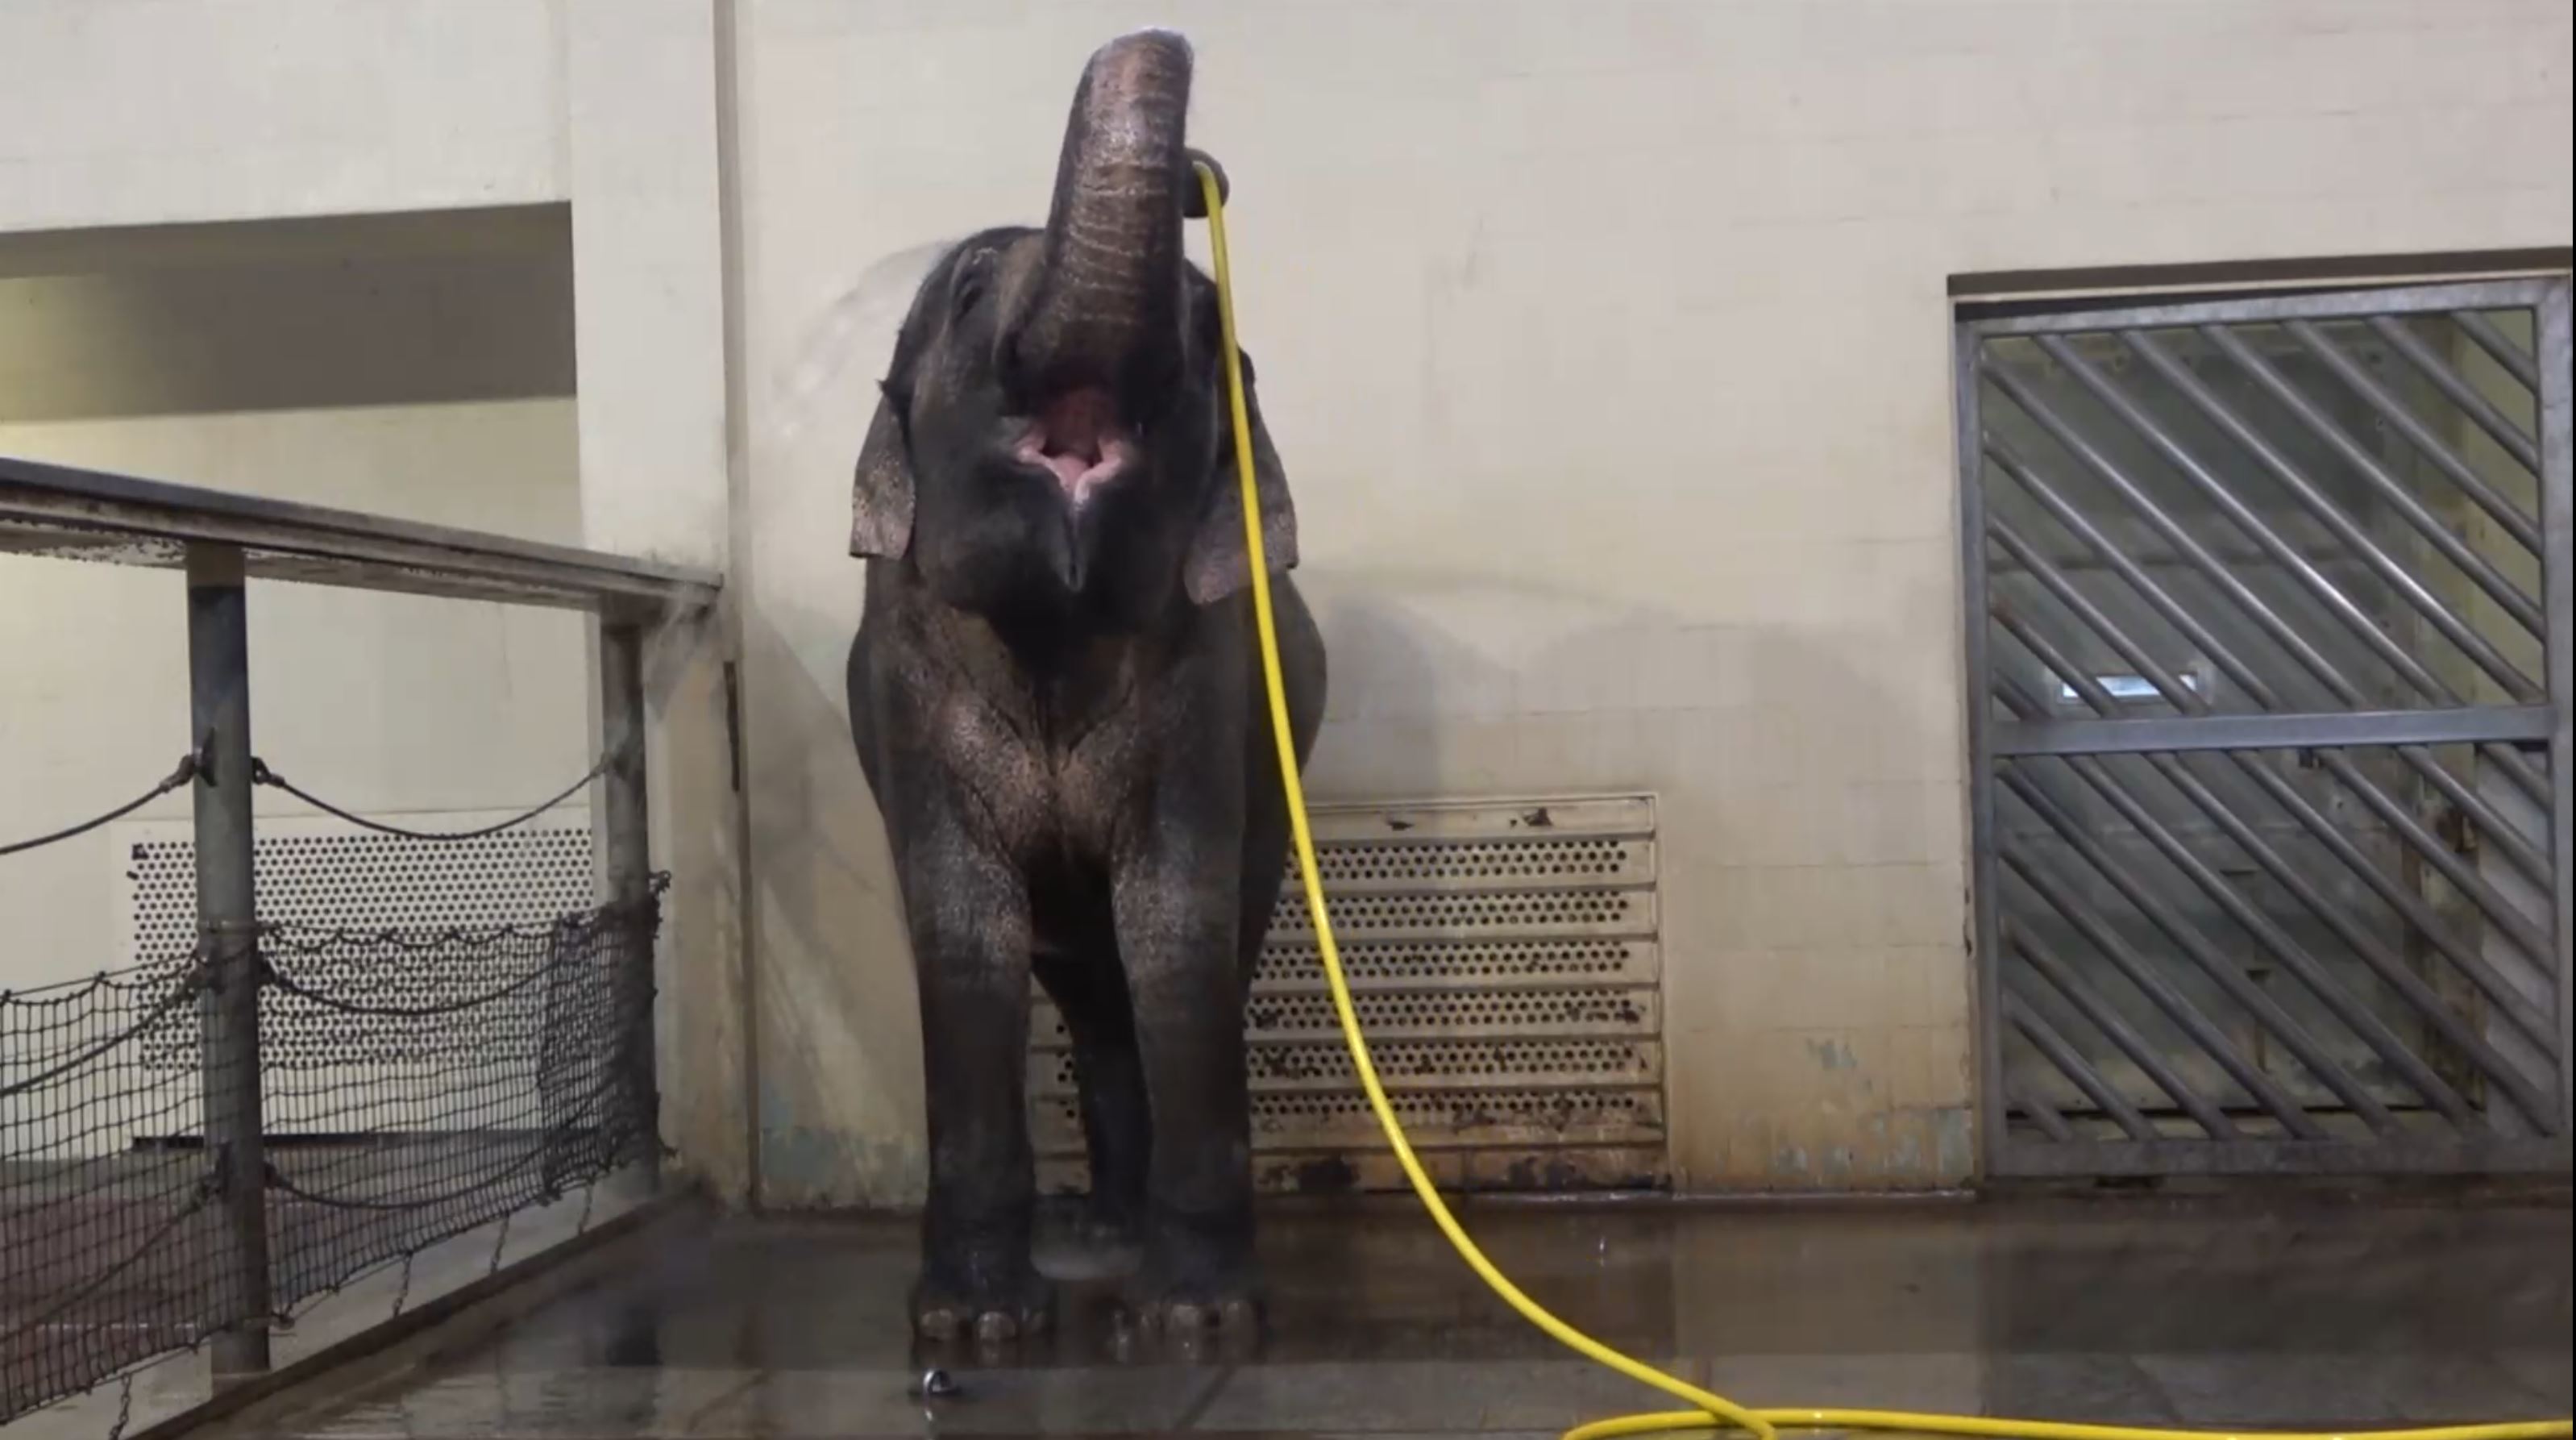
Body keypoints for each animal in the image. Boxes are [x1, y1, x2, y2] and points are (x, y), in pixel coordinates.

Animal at [843, 29, 1326, 1342]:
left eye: (1211, 338)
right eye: (967, 294)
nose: (1203, 175)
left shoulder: (1212, 690)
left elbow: (1179, 926)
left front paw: (1198, 1320)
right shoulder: (908, 689)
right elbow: (964, 932)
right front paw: (970, 1327)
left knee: (1158, 968)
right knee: (1084, 990)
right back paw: (1100, 1230)